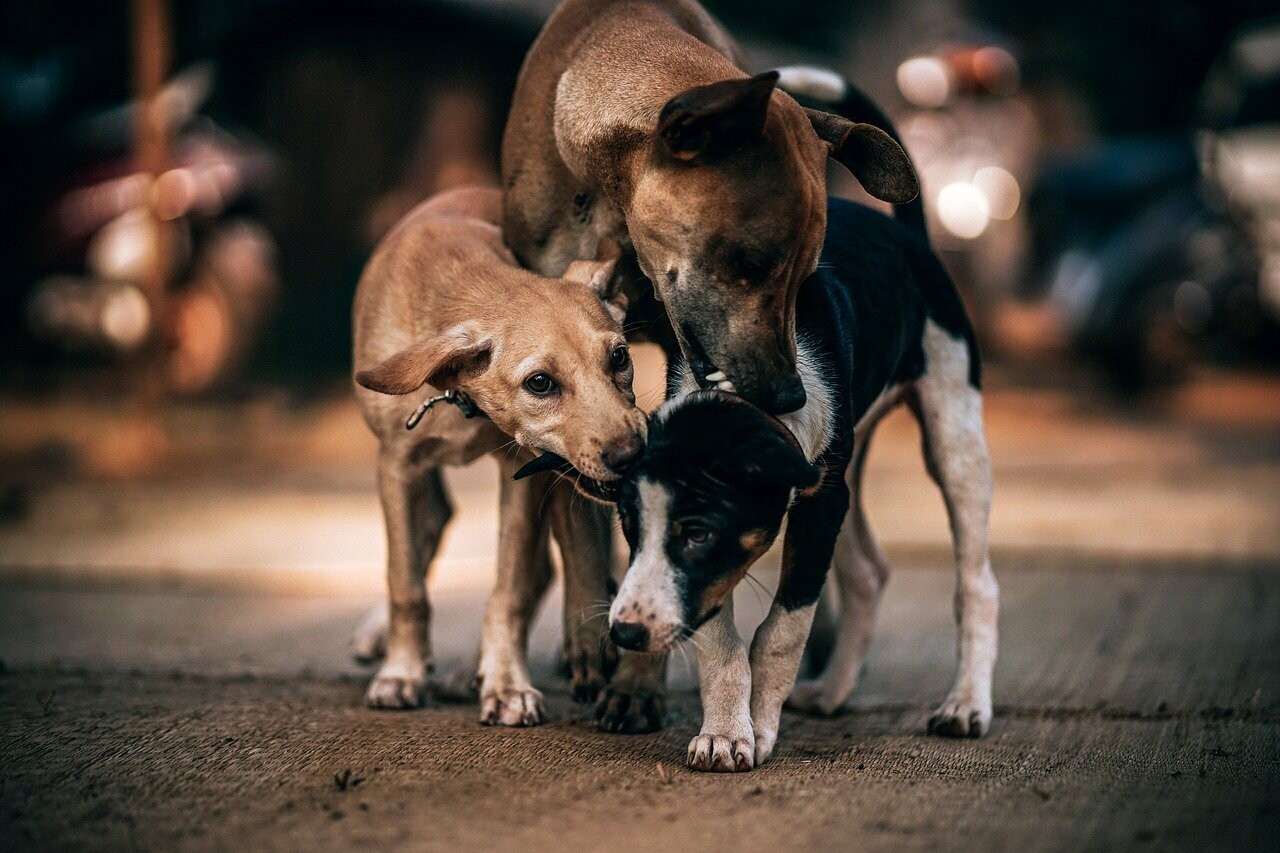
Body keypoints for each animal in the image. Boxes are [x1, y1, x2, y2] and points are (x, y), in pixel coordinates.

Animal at [348, 183, 640, 722]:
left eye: (619, 357)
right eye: (540, 383)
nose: (633, 454)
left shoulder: (520, 470)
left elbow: (510, 591)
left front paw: (506, 684)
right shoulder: (397, 465)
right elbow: (405, 583)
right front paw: (401, 674)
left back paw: (474, 670)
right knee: (430, 528)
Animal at [599, 188, 998, 768]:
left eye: (697, 533)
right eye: (629, 528)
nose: (626, 632)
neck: (751, 390)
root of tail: (910, 235)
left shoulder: (819, 503)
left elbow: (783, 630)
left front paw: (758, 728)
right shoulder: (806, 507)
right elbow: (719, 636)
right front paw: (725, 732)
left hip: (954, 432)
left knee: (976, 582)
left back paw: (966, 704)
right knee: (868, 571)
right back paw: (833, 690)